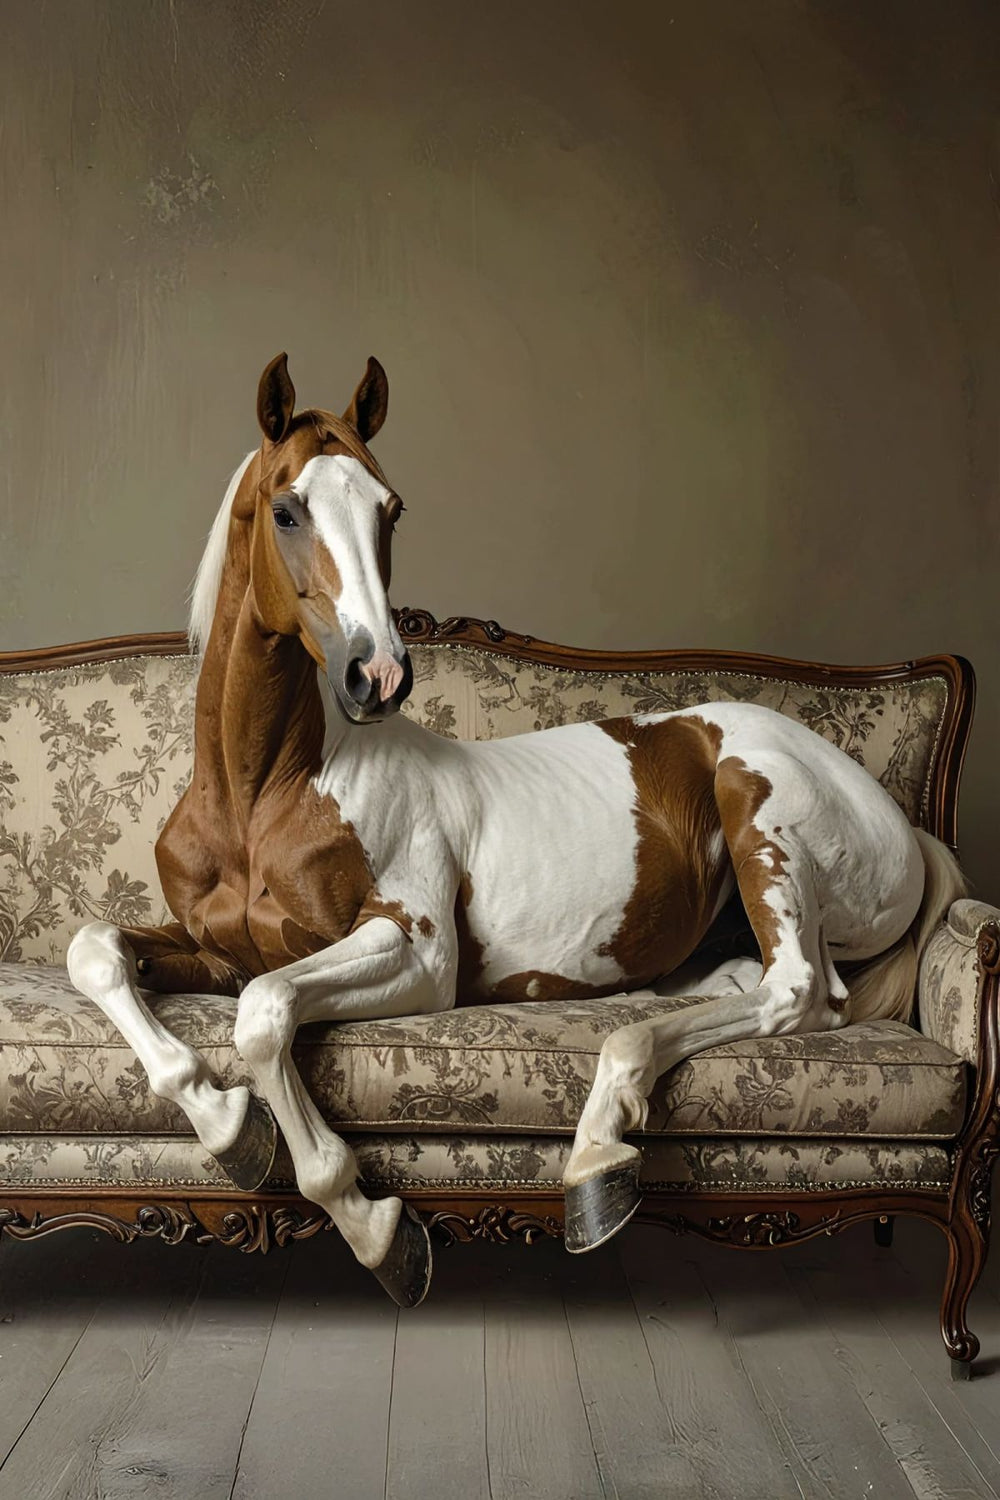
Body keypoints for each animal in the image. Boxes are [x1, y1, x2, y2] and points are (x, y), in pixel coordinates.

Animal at [67, 352, 965, 1306]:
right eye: (286, 509)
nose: (380, 675)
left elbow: (264, 1013)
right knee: (762, 990)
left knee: (798, 990)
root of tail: (902, 823)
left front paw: (374, 1228)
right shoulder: (215, 951)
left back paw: (599, 1151)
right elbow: (97, 951)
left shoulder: (417, 955)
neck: (267, 791)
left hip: (750, 800)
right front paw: (227, 1123)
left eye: (391, 507)